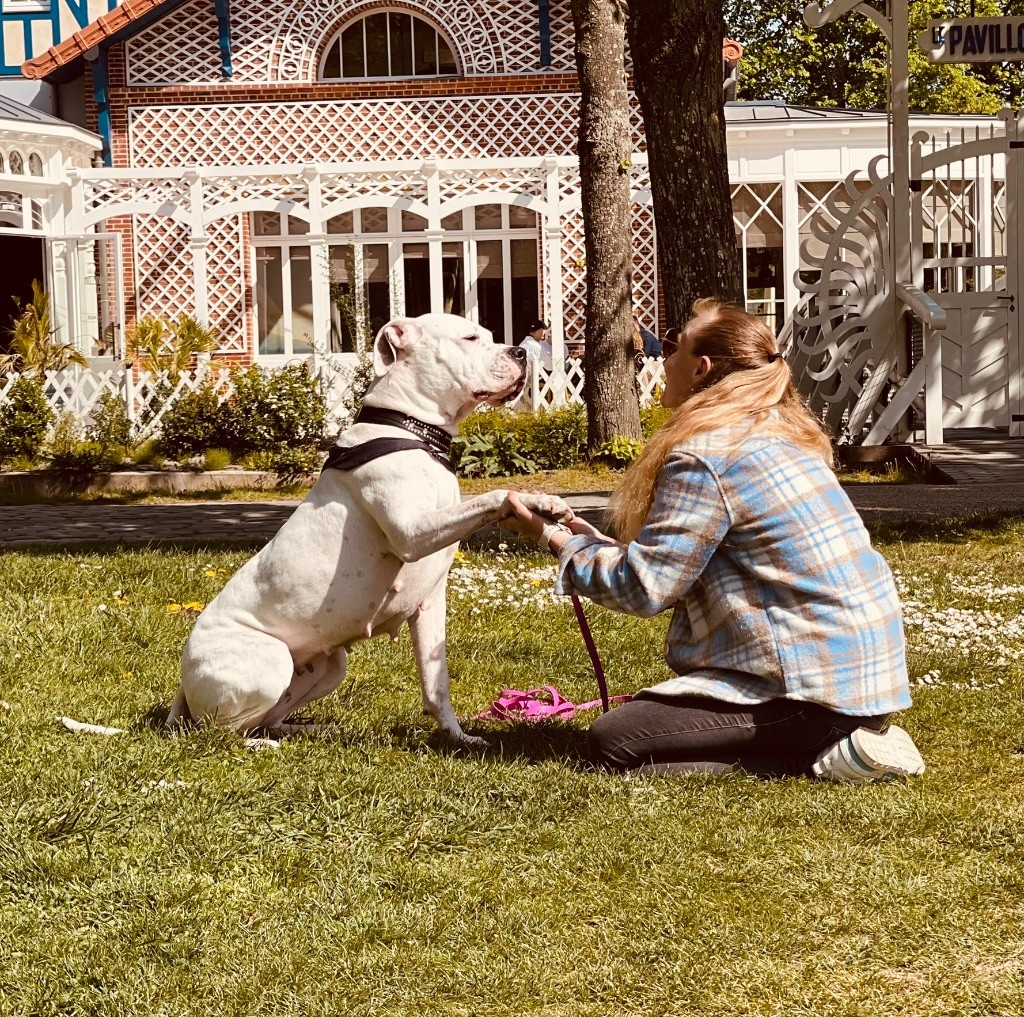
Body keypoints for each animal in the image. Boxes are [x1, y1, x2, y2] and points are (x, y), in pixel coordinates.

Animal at [167, 313, 574, 746]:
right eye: (469, 338)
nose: (519, 352)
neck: (411, 431)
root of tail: (182, 686)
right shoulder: (413, 533)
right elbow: (494, 495)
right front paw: (533, 501)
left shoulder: (429, 604)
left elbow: (436, 683)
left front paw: (458, 737)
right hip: (268, 662)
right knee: (221, 732)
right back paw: (263, 744)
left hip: (330, 666)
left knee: (266, 717)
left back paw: (309, 728)